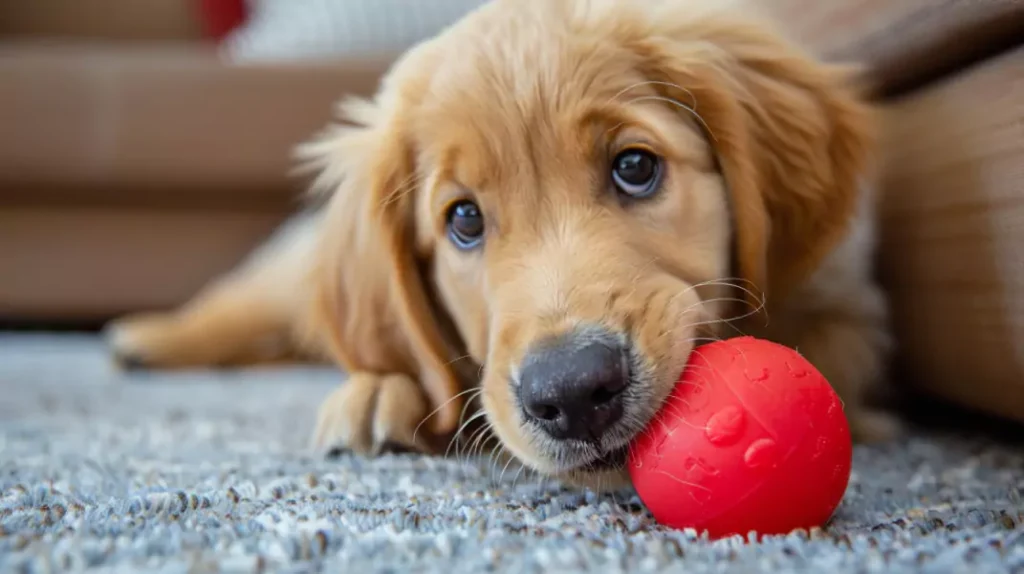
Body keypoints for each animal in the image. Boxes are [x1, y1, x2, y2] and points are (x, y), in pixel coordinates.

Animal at [108, 0, 901, 487]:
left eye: (635, 166)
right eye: (464, 219)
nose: (573, 393)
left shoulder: (847, 299)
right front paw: (381, 391)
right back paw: (145, 338)